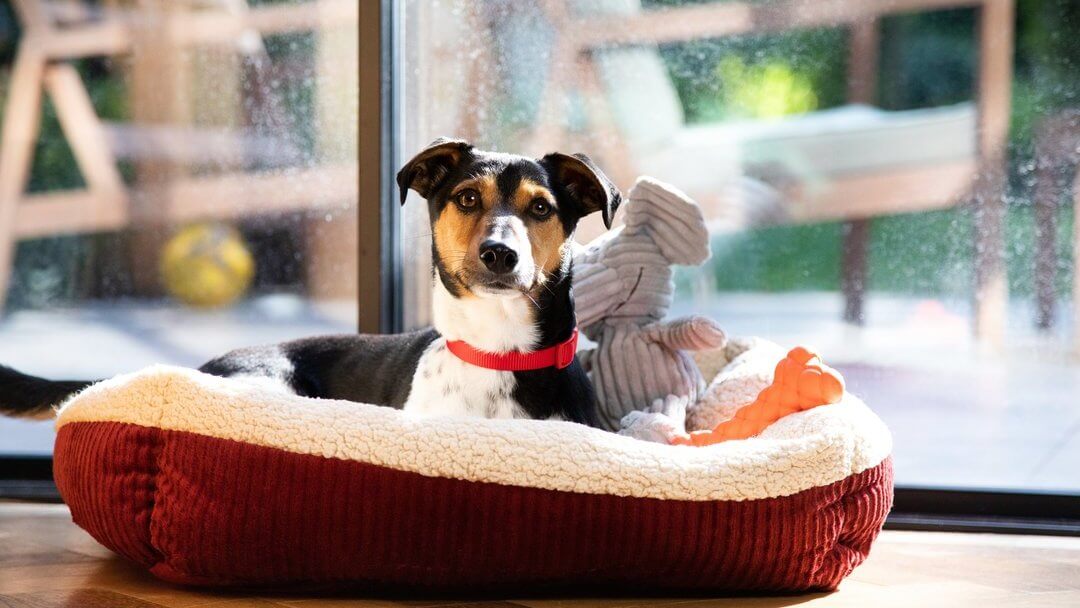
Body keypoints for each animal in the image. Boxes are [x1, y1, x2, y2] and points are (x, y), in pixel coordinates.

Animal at [0, 139, 622, 427]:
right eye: (468, 198)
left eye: (541, 209)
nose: (499, 254)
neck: (498, 352)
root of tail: (196, 367)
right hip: (273, 388)